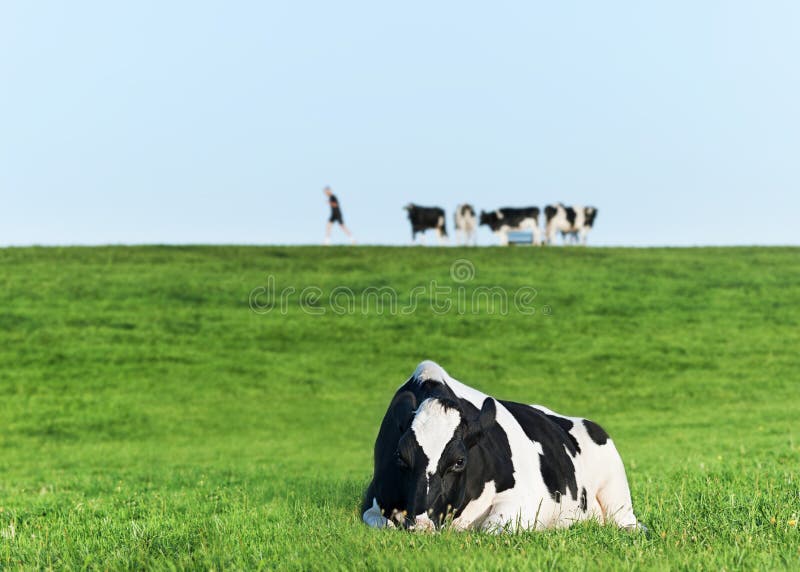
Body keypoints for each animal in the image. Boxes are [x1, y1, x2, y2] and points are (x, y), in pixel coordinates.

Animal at [362, 362, 644, 532]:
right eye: (400, 457)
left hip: (616, 490)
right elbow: (383, 523)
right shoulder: (371, 501)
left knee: (626, 522)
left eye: (459, 461)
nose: (420, 524)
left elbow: (490, 530)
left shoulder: (522, 499)